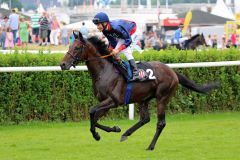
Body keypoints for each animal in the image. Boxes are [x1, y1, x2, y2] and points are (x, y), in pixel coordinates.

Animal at [59, 32, 218, 150]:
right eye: (70, 45)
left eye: (77, 48)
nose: (62, 64)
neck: (104, 71)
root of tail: (172, 72)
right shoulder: (105, 103)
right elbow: (94, 118)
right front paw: (113, 129)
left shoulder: (113, 101)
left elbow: (92, 112)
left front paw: (97, 135)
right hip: (144, 99)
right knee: (145, 119)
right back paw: (126, 133)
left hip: (162, 97)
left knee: (160, 123)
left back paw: (150, 146)